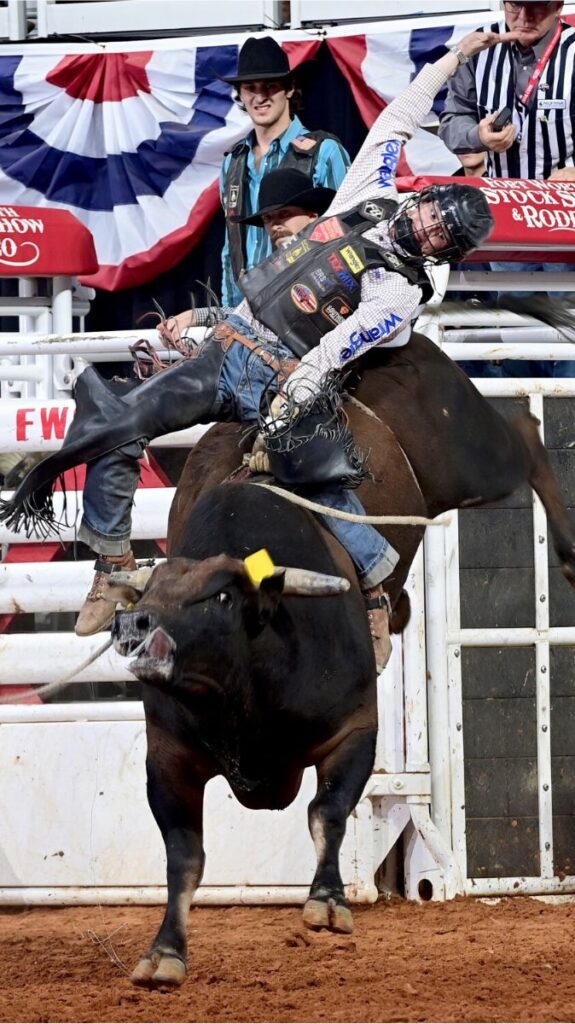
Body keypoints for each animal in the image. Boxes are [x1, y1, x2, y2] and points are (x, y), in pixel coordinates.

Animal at [109, 333, 568, 983]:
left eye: (221, 597)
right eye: (151, 594)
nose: (139, 630)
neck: (245, 693)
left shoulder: (354, 730)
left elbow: (326, 812)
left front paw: (327, 902)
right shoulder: (169, 756)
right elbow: (184, 856)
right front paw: (165, 951)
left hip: (469, 453)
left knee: (525, 434)